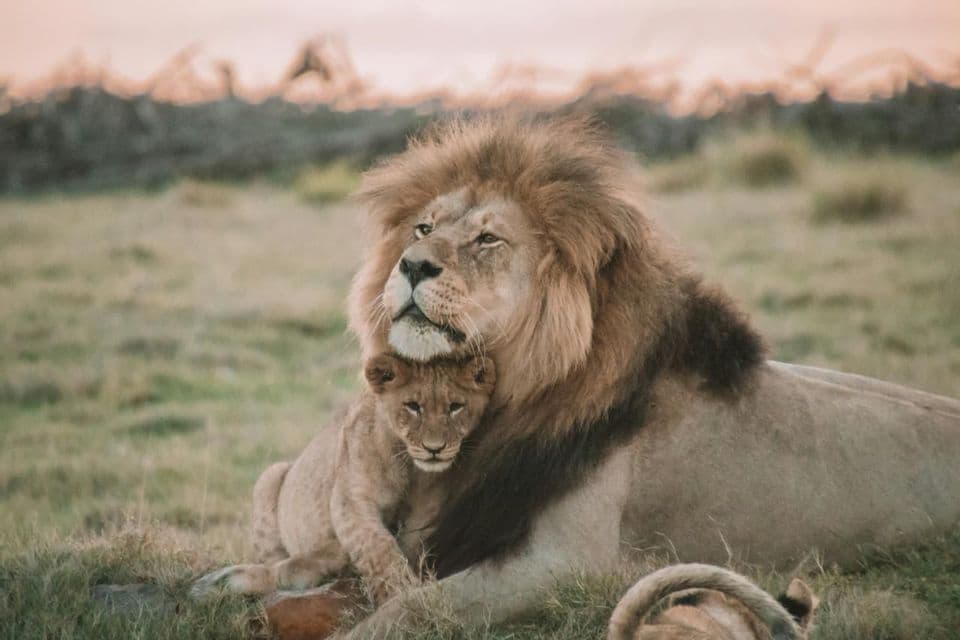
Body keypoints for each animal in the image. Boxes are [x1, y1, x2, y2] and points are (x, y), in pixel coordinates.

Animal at [192, 353, 494, 604]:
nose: (435, 448)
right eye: (412, 406)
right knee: (277, 559)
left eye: (456, 406)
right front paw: (400, 593)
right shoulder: (350, 498)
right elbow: (377, 546)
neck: (410, 467)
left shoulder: (429, 509)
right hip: (270, 475)